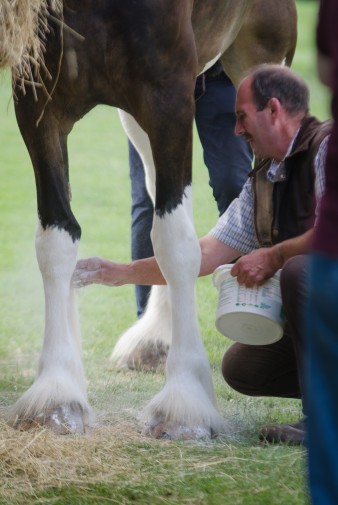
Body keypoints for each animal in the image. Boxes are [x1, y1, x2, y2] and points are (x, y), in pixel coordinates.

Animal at [9, 0, 296, 438]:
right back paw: (156, 337)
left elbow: (175, 244)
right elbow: (56, 238)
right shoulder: (38, 101)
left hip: (259, 58)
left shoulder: (168, 95)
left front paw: (185, 401)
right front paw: (57, 391)